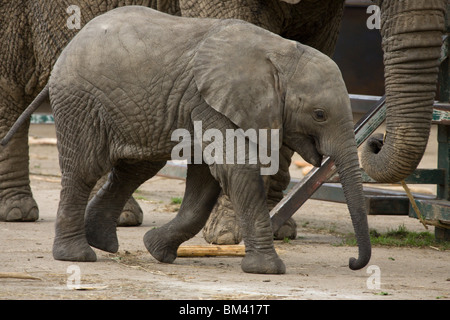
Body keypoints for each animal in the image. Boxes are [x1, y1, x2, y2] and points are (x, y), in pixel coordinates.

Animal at [4, 6, 370, 274]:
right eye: (319, 114)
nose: (353, 263)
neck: (280, 52)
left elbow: (206, 181)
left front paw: (156, 249)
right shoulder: (208, 101)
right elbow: (235, 170)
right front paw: (268, 270)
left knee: (134, 169)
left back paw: (103, 243)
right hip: (80, 102)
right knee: (85, 170)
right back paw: (77, 257)